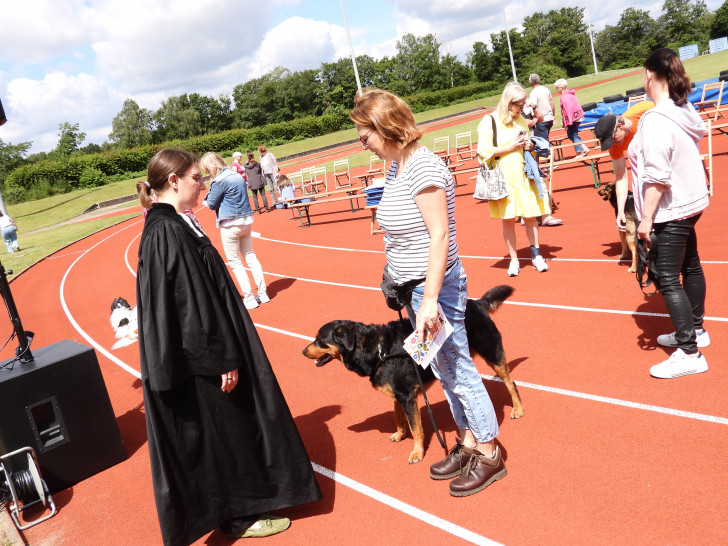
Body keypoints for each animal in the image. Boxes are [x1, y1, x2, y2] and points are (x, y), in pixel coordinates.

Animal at [302, 284, 524, 464]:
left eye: (319, 340)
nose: (303, 351)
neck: (376, 350)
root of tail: (477, 303)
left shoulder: (407, 397)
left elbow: (416, 428)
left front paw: (417, 453)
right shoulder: (398, 395)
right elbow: (399, 419)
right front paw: (399, 435)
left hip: (491, 352)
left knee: (510, 382)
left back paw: (518, 409)